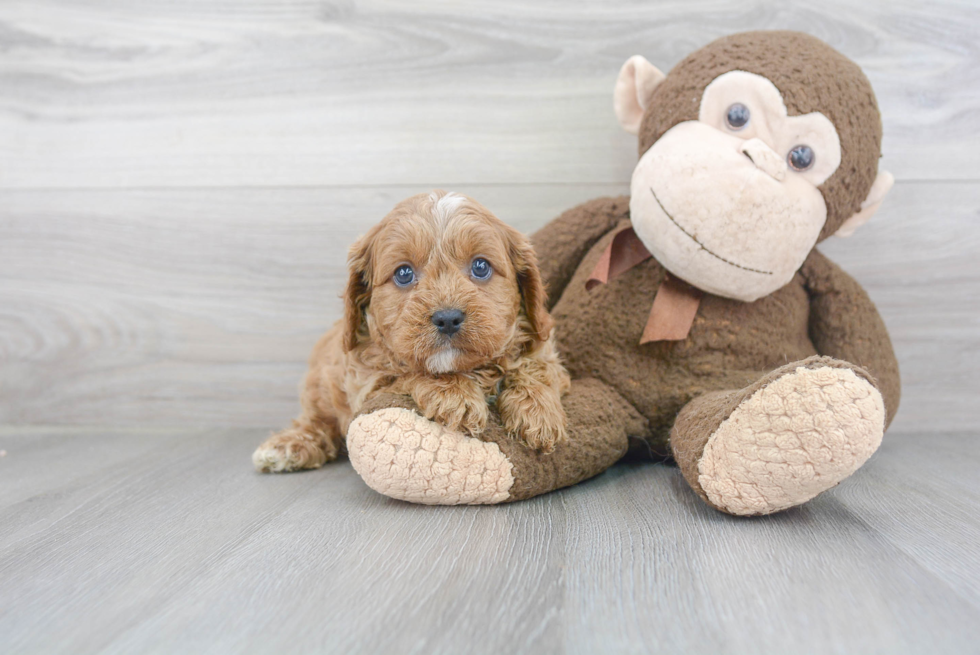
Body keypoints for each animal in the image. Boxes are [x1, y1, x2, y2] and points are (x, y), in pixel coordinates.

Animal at [253, 190, 572, 472]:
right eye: (404, 274)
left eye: (481, 266)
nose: (447, 318)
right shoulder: (368, 382)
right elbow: (408, 372)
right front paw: (456, 396)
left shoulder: (544, 347)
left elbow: (536, 366)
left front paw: (539, 413)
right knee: (317, 422)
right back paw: (287, 446)